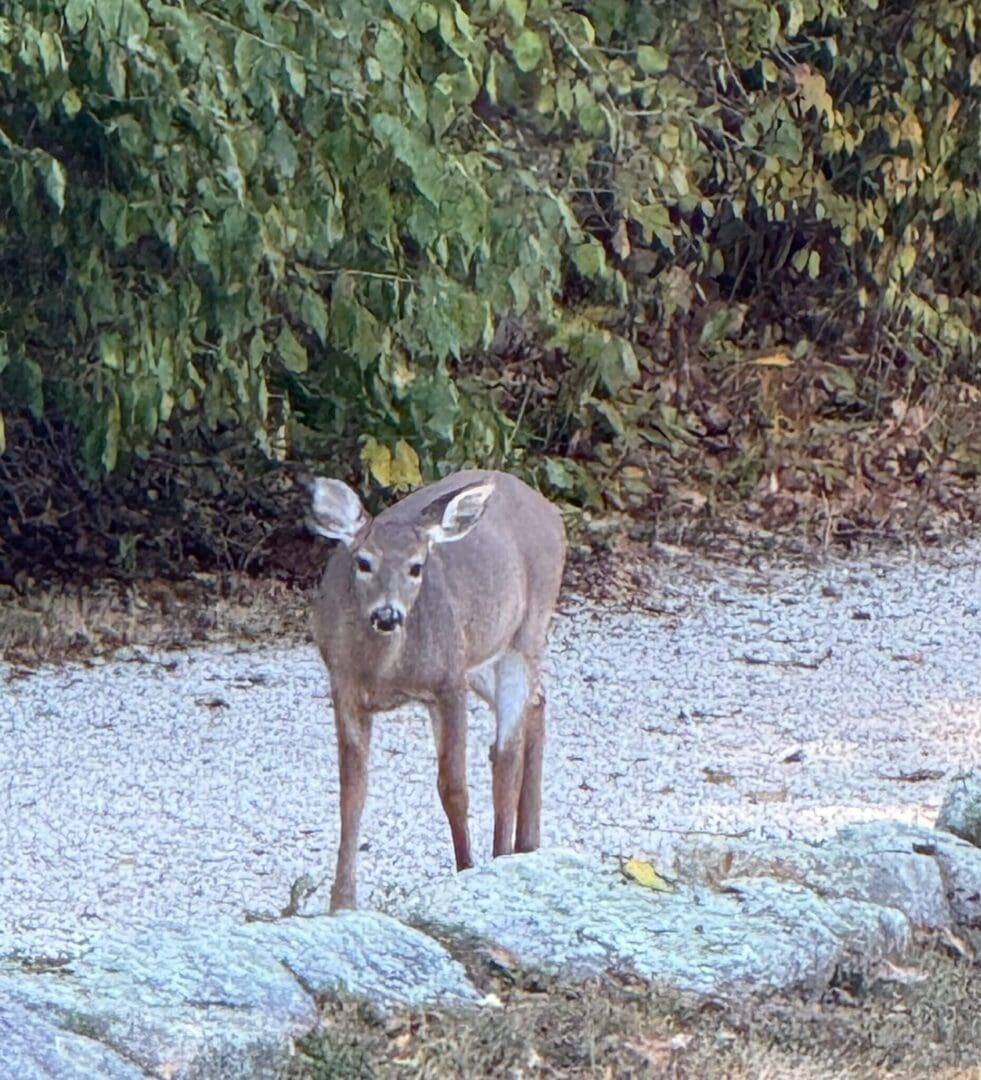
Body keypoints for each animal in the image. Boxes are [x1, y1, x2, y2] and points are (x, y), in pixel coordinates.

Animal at [307, 469, 566, 911]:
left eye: (416, 567)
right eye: (363, 562)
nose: (388, 614)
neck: (385, 674)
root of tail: (549, 510)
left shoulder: (447, 680)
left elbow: (453, 787)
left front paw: (465, 868)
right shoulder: (342, 686)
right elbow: (352, 792)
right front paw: (341, 902)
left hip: (527, 629)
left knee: (506, 751)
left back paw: (502, 855)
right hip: (483, 655)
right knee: (537, 702)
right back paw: (528, 843)